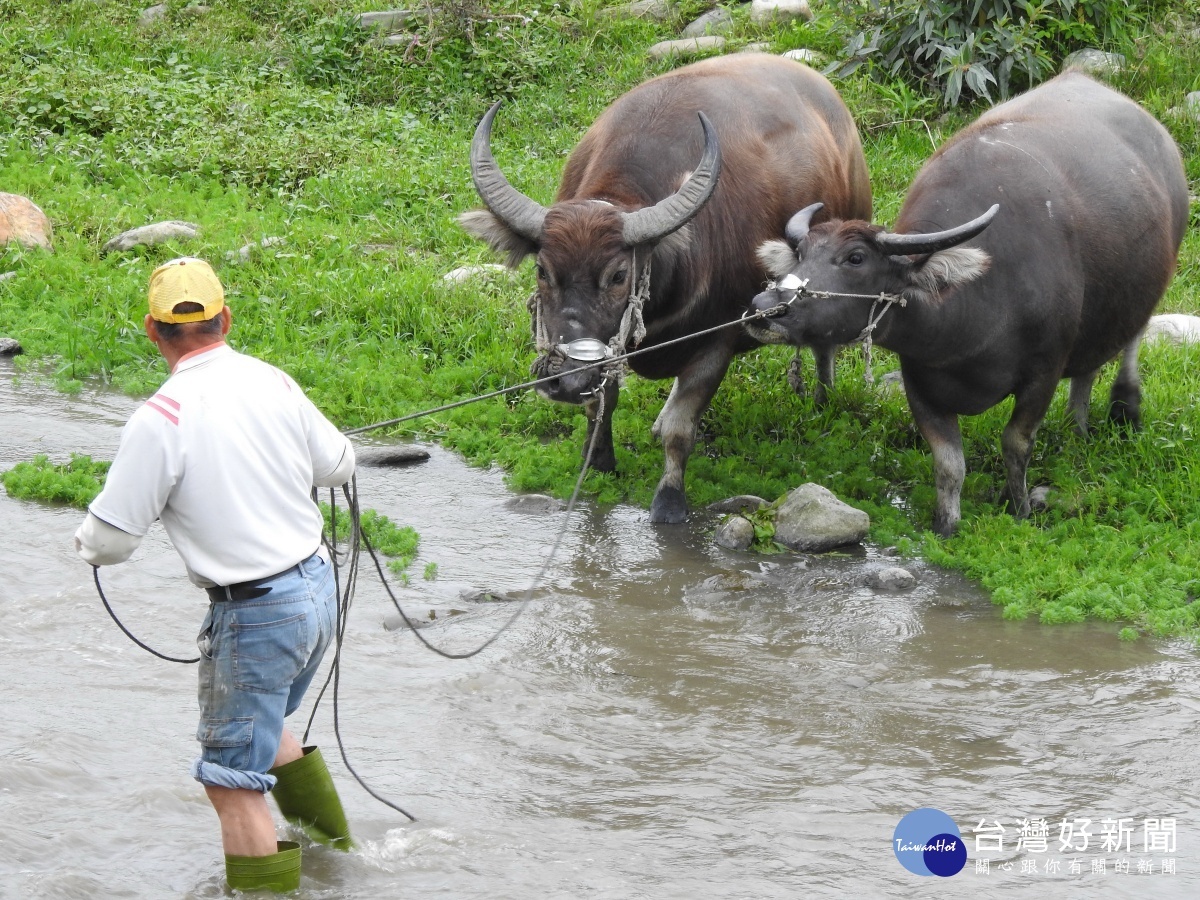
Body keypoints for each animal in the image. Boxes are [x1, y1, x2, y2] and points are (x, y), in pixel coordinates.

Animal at [460, 52, 873, 525]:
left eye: (618, 275)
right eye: (543, 270)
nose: (564, 381)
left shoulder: (717, 342)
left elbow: (681, 429)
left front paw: (670, 501)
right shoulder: (610, 350)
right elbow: (602, 403)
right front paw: (598, 459)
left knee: (825, 344)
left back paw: (823, 398)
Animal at [748, 74, 1190, 535]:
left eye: (855, 258)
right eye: (801, 254)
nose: (765, 305)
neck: (971, 318)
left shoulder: (1043, 372)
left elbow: (1015, 443)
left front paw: (1020, 508)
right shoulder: (920, 382)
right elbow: (949, 464)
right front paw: (946, 524)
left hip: (1153, 282)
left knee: (1132, 339)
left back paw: (1126, 408)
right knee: (1088, 368)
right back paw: (1076, 427)